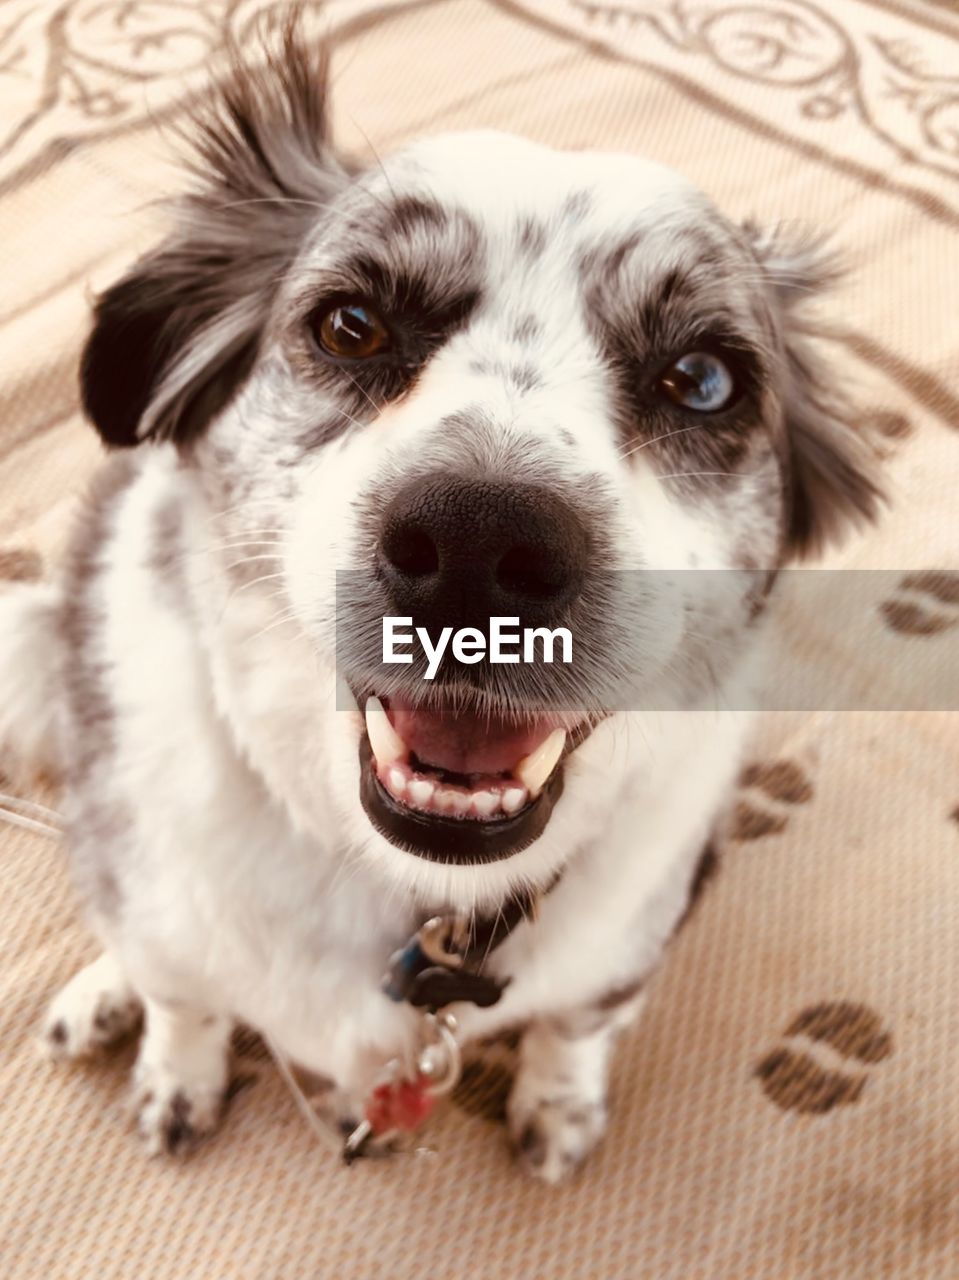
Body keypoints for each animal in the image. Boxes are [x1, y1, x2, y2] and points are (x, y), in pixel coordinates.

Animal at [0, 24, 880, 1177]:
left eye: (700, 379)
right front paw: (174, 1072)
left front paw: (558, 1104)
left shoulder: (634, 932)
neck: (424, 899)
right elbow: (182, 994)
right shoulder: (158, 898)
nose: (478, 545)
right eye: (350, 325)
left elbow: (576, 1023)